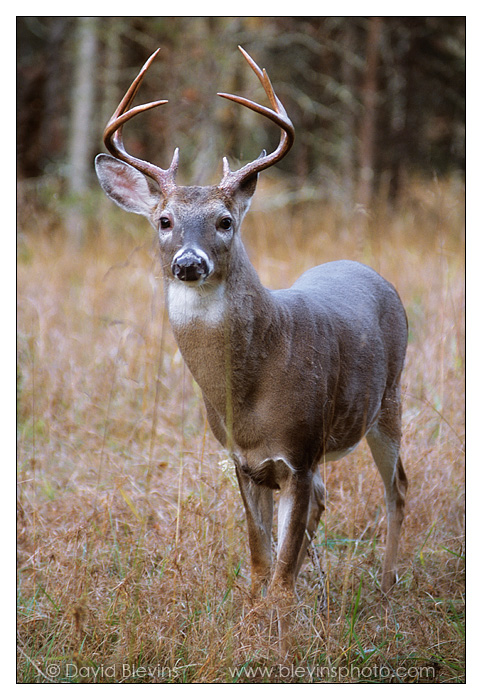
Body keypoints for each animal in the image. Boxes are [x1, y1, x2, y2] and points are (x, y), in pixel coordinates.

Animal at [94, 45, 406, 628]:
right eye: (164, 220)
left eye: (224, 220)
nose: (188, 263)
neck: (248, 391)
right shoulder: (243, 460)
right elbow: (261, 557)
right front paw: (255, 607)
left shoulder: (301, 449)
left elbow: (280, 569)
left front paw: (279, 622)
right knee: (330, 502)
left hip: (390, 398)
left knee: (396, 487)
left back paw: (389, 583)